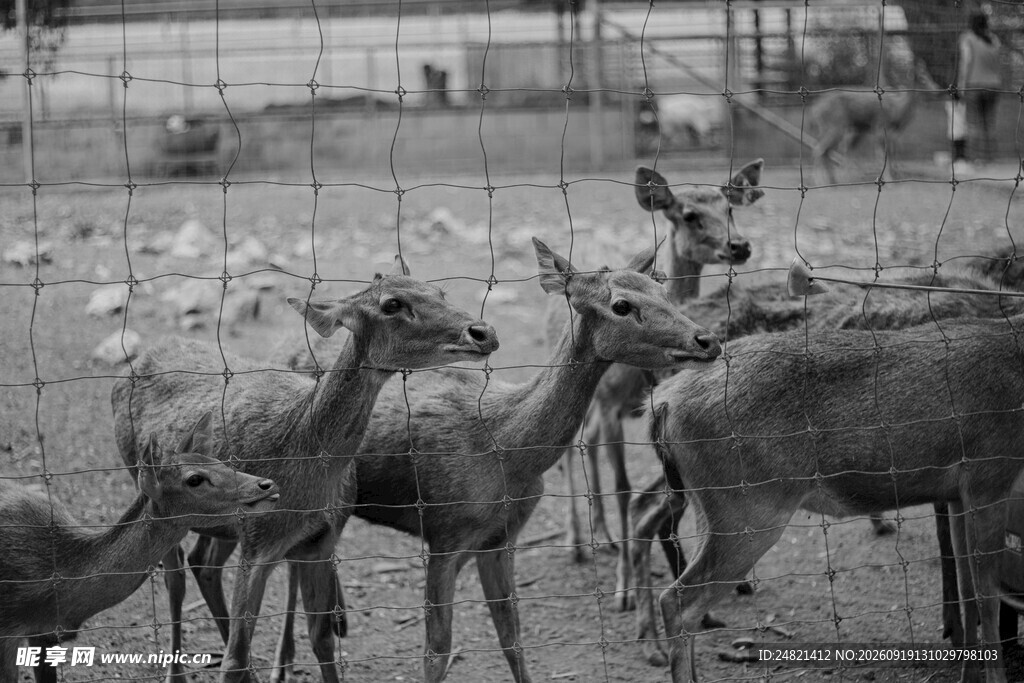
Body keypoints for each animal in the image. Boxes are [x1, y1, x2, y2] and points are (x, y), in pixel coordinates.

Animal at [110, 256, 499, 683]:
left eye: (439, 290)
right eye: (392, 304)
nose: (483, 332)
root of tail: (133, 364)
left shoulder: (322, 540)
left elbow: (322, 638)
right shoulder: (258, 542)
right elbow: (233, 659)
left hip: (222, 525)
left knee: (204, 562)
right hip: (153, 491)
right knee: (175, 578)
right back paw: (177, 671)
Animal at [184, 237, 723, 682]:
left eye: (663, 287)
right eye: (621, 304)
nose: (707, 340)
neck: (507, 450)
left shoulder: (501, 538)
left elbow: (512, 638)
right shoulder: (443, 533)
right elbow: (436, 652)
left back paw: (333, 621)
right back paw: (285, 659)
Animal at [551, 160, 765, 615]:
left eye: (729, 208)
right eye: (688, 214)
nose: (739, 246)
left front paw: (739, 581)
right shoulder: (611, 404)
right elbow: (624, 487)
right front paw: (624, 592)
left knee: (588, 442)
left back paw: (605, 536)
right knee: (574, 448)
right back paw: (577, 542)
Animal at [628, 263, 1024, 667]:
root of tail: (661, 403)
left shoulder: (958, 492)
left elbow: (969, 591)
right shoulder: (990, 474)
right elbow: (988, 599)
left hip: (703, 501)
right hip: (749, 509)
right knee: (677, 599)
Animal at [809, 59, 938, 184]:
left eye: (929, 75)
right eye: (922, 78)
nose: (936, 89)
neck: (897, 111)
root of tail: (814, 110)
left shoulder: (891, 133)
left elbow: (892, 153)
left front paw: (896, 176)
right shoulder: (880, 127)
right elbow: (883, 154)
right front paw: (890, 179)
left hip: (844, 129)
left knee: (830, 150)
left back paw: (834, 181)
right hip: (836, 125)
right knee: (821, 150)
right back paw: (823, 181)